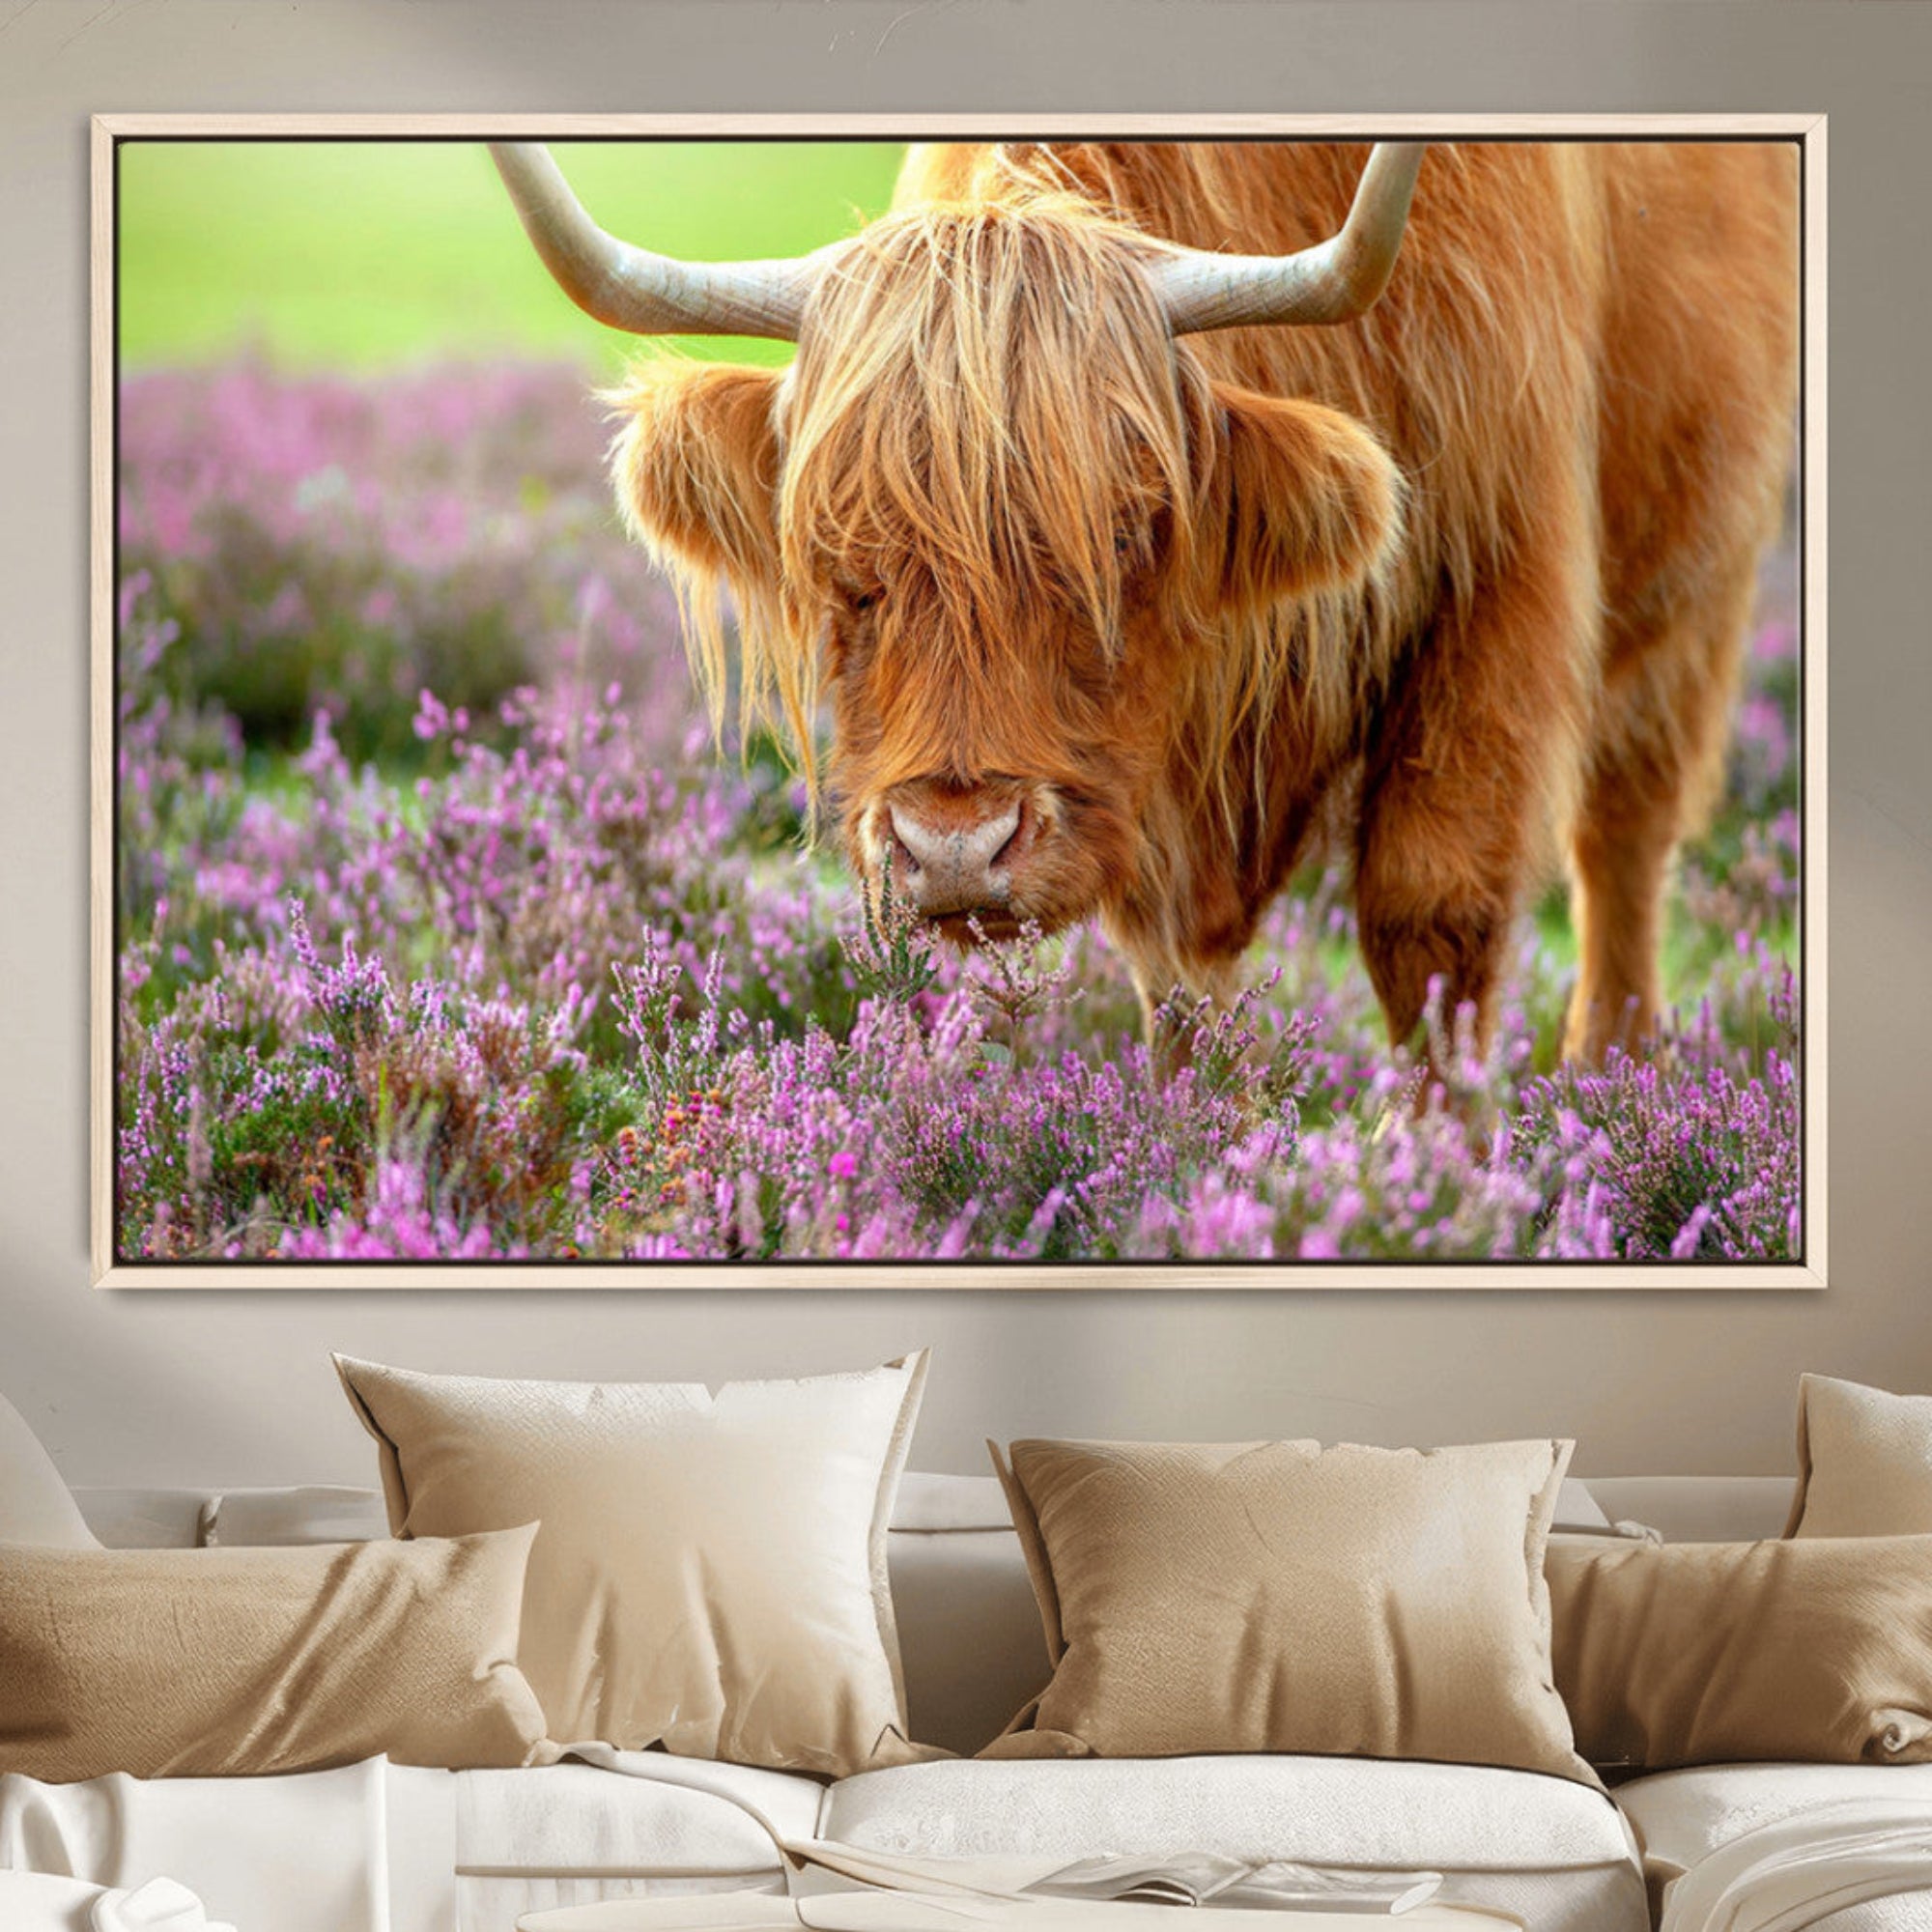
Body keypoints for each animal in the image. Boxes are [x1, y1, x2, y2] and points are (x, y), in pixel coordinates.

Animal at [490, 138, 1798, 1064]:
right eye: (836, 557)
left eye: (1121, 534)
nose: (954, 849)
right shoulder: (1151, 771)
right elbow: (1174, 979)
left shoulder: (1500, 574)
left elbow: (1433, 914)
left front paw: (1439, 1187)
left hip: (1699, 573)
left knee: (1622, 838)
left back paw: (1607, 1076)